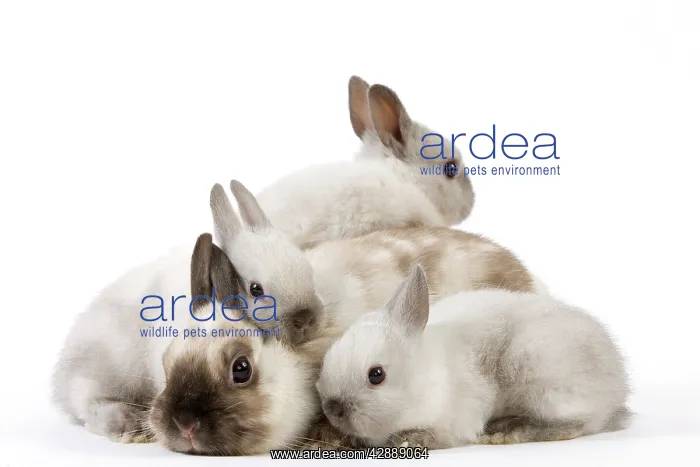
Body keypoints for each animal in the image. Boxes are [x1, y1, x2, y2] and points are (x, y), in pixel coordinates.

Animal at [51, 181, 324, 443]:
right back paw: (128, 425)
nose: (307, 320)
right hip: (101, 371)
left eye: (308, 270)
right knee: (89, 402)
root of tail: (59, 378)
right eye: (256, 289)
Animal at [316, 265, 630, 450]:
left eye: (376, 375)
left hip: (538, 371)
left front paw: (408, 440)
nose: (332, 408)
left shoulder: (460, 415)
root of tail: (618, 387)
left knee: (575, 424)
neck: (427, 378)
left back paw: (506, 433)